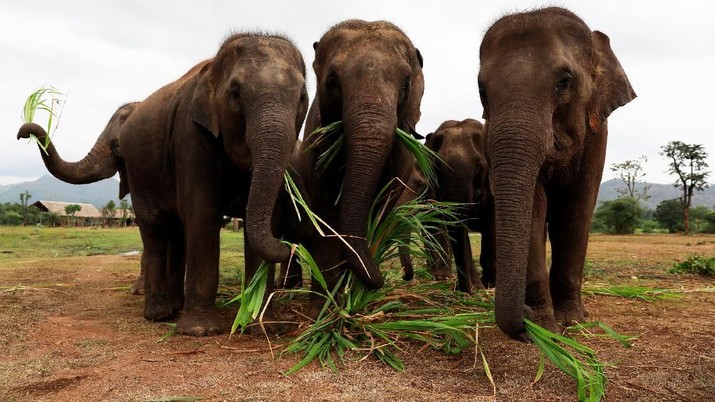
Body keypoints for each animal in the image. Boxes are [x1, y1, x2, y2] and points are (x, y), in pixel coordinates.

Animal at [18, 33, 310, 336]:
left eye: (303, 97)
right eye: (234, 93)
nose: (23, 133)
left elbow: (266, 218)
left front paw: (264, 328)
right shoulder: (189, 135)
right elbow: (202, 214)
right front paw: (200, 331)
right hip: (142, 173)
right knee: (155, 227)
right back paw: (159, 313)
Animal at [252, 18, 426, 308]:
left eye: (406, 83)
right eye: (333, 80)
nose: (386, 280)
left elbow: (381, 207)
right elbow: (326, 211)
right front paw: (325, 306)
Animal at [422, 118, 496, 290]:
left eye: (478, 167)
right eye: (437, 166)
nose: (464, 290)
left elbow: (492, 222)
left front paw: (489, 284)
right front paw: (477, 286)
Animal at [478, 6, 636, 340]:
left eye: (564, 81)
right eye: (482, 90)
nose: (524, 318)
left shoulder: (597, 136)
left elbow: (576, 210)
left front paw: (572, 321)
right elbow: (535, 210)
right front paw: (545, 327)